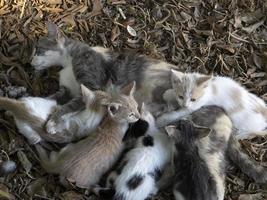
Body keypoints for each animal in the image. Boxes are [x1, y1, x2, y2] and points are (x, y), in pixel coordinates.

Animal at [30, 21, 176, 134]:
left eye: (38, 49)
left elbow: (68, 107)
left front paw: (53, 122)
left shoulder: (92, 87)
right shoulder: (68, 90)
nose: (30, 63)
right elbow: (52, 98)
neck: (68, 63)